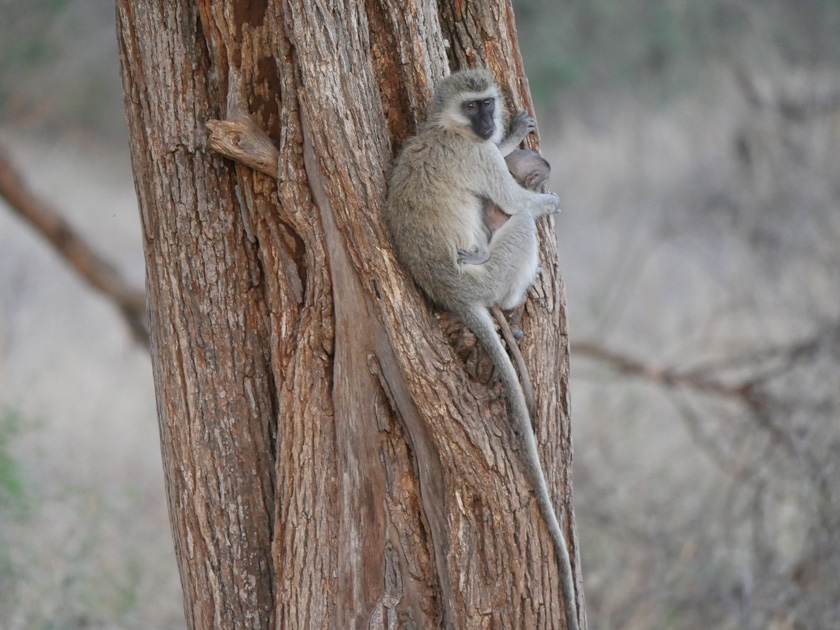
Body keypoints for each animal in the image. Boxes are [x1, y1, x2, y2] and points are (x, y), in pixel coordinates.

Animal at [382, 69, 576, 630]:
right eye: (474, 107)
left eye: (487, 102)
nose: (490, 122)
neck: (446, 129)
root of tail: (454, 294)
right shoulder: (476, 158)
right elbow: (519, 204)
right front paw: (547, 199)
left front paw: (513, 134)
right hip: (490, 272)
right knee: (520, 227)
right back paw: (510, 298)